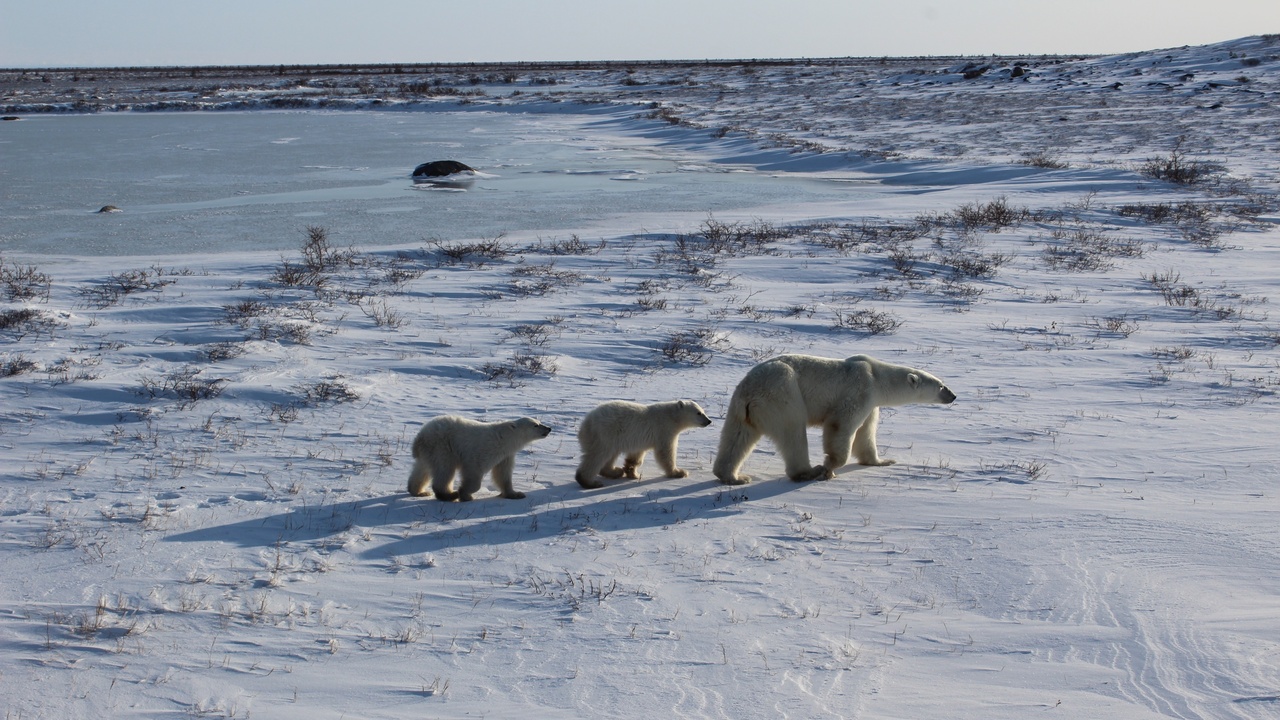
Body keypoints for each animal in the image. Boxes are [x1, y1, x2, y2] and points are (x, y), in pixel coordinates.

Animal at [407, 415, 552, 501]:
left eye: (540, 422)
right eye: (536, 425)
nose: (549, 428)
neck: (506, 437)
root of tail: (420, 437)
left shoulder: (506, 455)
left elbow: (503, 474)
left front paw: (516, 494)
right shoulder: (486, 449)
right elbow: (474, 470)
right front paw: (465, 494)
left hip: (429, 451)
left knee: (422, 469)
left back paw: (418, 492)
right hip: (442, 447)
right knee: (444, 470)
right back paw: (449, 494)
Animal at [575, 400, 713, 489]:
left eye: (703, 411)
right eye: (699, 412)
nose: (709, 421)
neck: (672, 416)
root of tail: (586, 423)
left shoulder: (640, 440)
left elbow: (636, 456)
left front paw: (632, 472)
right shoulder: (664, 429)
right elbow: (666, 452)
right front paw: (679, 472)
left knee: (609, 455)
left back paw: (615, 471)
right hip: (605, 433)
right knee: (598, 456)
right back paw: (590, 482)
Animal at [712, 354, 955, 485]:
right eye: (941, 386)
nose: (953, 396)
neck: (877, 377)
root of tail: (749, 393)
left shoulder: (871, 404)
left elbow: (866, 434)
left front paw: (883, 461)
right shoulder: (859, 390)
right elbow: (841, 426)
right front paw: (829, 468)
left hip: (741, 409)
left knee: (737, 437)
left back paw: (733, 476)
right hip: (782, 394)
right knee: (793, 432)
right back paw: (809, 471)